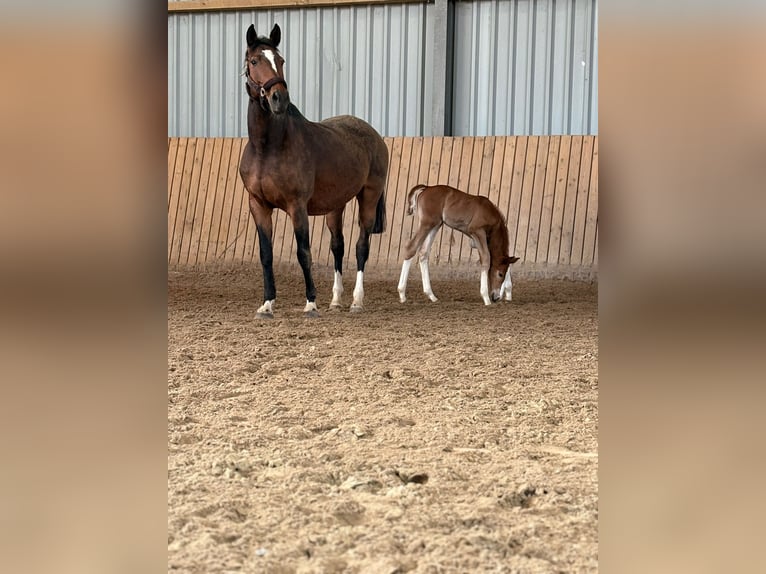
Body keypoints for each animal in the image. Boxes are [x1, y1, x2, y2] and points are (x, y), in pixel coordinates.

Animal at [239, 24, 388, 318]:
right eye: (254, 61)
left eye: (280, 60)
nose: (279, 98)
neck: (268, 148)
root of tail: (373, 135)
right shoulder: (258, 205)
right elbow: (266, 254)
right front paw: (267, 304)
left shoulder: (297, 206)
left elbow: (303, 252)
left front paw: (310, 303)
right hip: (336, 205)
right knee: (338, 246)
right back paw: (336, 300)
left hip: (369, 197)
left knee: (361, 247)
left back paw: (356, 301)